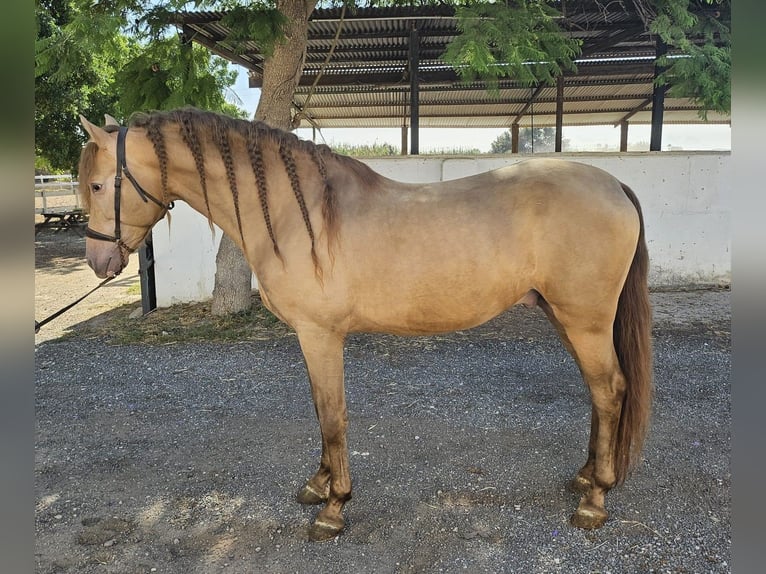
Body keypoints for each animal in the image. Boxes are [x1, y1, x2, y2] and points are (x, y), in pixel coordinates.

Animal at [77, 108, 652, 541]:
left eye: (100, 184)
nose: (98, 263)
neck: (299, 212)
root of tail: (615, 185)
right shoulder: (311, 339)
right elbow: (318, 411)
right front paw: (317, 484)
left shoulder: (321, 335)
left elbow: (333, 417)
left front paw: (333, 507)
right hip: (567, 318)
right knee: (599, 392)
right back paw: (584, 478)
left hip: (585, 321)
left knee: (610, 389)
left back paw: (595, 499)